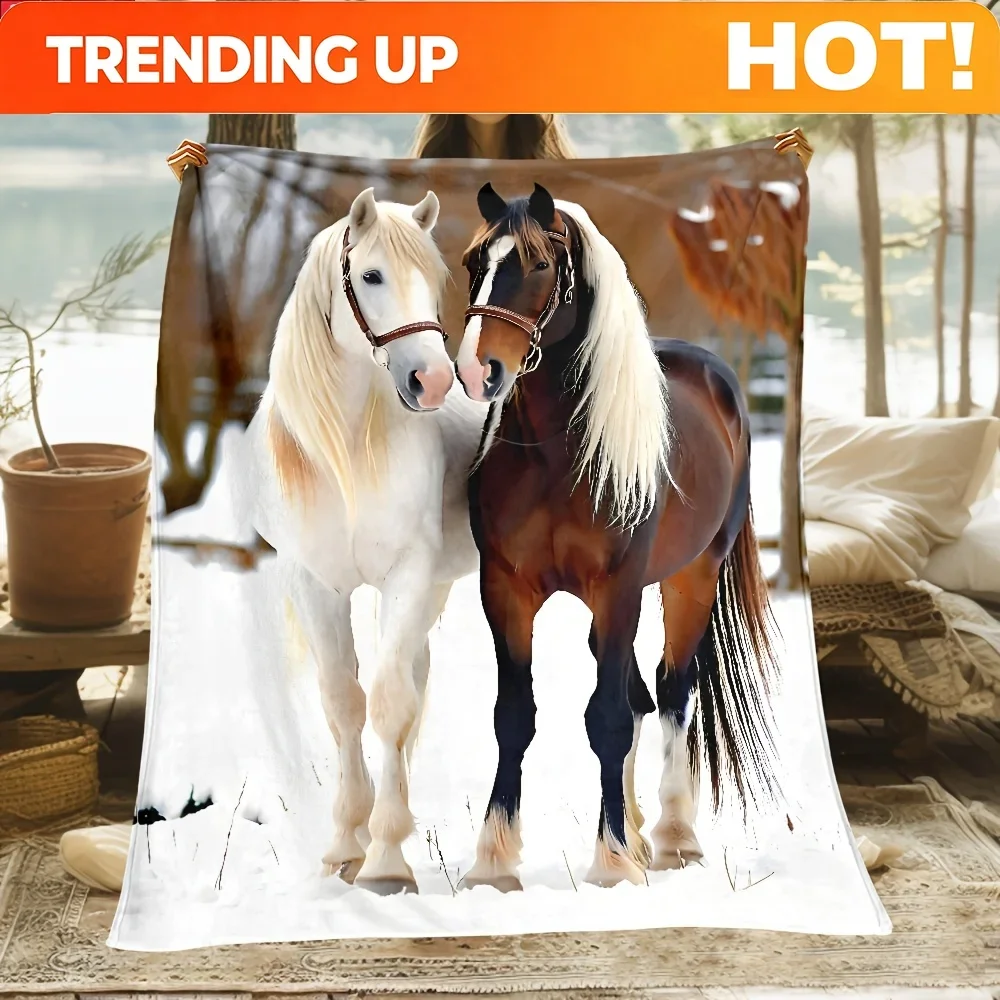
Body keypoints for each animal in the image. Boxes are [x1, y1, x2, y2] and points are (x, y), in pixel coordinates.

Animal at [242, 187, 487, 895]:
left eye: (434, 278)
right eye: (372, 276)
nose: (434, 381)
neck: (347, 455)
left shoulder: (405, 577)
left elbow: (388, 706)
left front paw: (384, 860)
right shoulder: (315, 585)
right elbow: (345, 705)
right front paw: (345, 846)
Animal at [453, 182, 779, 890]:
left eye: (538, 265)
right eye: (474, 263)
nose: (476, 369)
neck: (557, 454)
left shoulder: (619, 587)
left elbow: (604, 719)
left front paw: (611, 866)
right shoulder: (506, 589)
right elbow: (514, 718)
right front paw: (494, 860)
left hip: (687, 580)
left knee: (671, 690)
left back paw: (675, 838)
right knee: (635, 698)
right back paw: (635, 833)